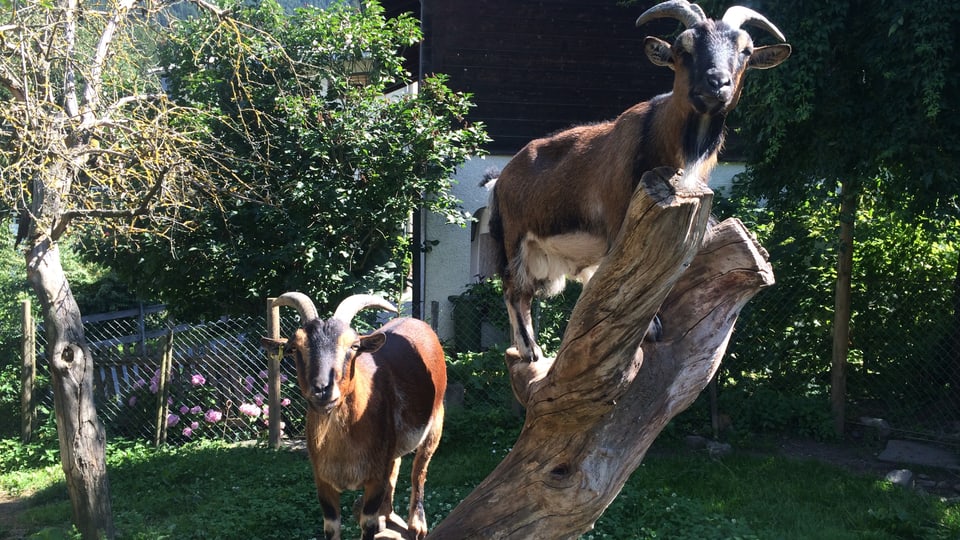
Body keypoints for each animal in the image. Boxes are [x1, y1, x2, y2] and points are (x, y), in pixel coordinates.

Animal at [258, 294, 446, 540]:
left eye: (354, 346)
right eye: (293, 347)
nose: (322, 389)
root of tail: (417, 321)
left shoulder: (375, 479)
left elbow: (368, 523)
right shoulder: (322, 480)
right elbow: (331, 525)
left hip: (436, 420)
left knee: (419, 469)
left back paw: (417, 524)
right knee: (396, 464)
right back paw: (387, 513)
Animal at [492, 1, 792, 362]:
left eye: (745, 51)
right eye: (683, 49)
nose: (717, 83)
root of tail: (502, 177)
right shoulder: (617, 220)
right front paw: (650, 328)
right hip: (515, 238)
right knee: (514, 290)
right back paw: (530, 350)